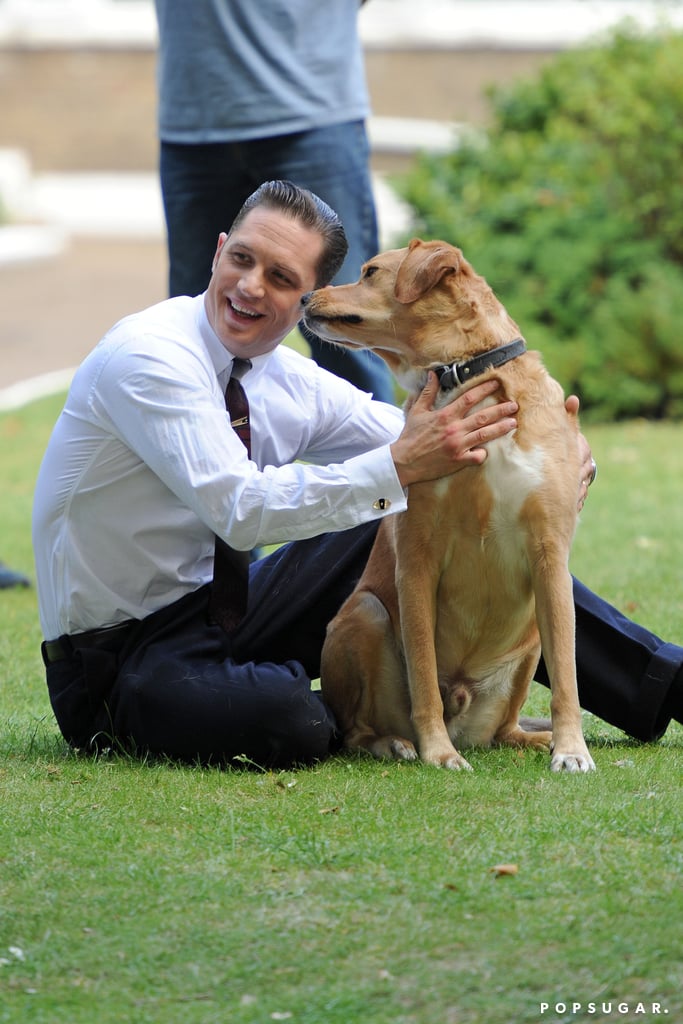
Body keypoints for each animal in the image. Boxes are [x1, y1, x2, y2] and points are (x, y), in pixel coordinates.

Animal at [305, 237, 598, 770]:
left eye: (370, 272)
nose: (305, 297)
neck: (466, 377)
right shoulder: (417, 559)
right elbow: (422, 674)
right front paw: (438, 753)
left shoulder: (550, 554)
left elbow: (567, 678)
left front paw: (571, 750)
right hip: (365, 614)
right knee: (357, 730)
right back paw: (396, 743)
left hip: (531, 640)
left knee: (506, 729)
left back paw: (534, 739)